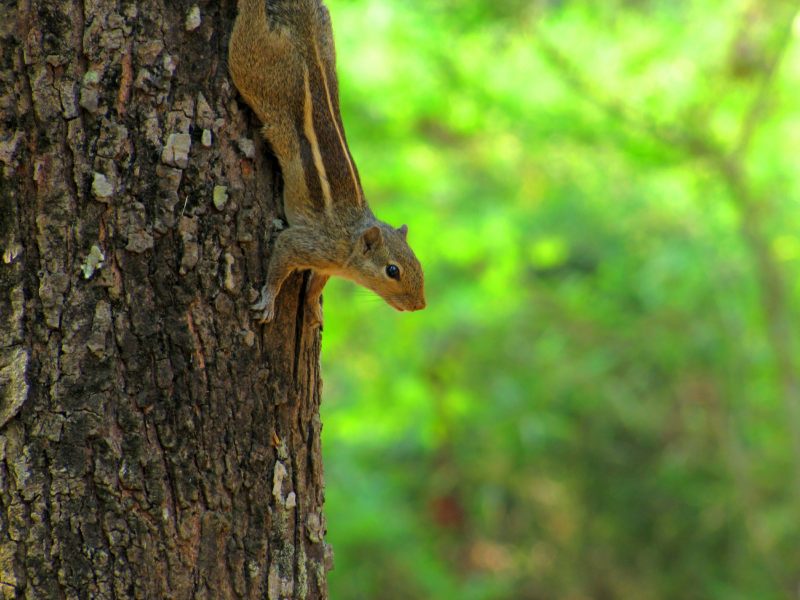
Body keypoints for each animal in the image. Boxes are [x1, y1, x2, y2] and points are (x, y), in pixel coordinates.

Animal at [228, 0, 424, 326]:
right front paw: (268, 299)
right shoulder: (308, 243)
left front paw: (312, 308)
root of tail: (309, 51)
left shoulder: (325, 266)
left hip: (326, 33)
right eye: (392, 270)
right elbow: (281, 260)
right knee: (248, 31)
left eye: (417, 262)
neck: (350, 241)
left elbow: (315, 287)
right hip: (257, 68)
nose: (420, 305)